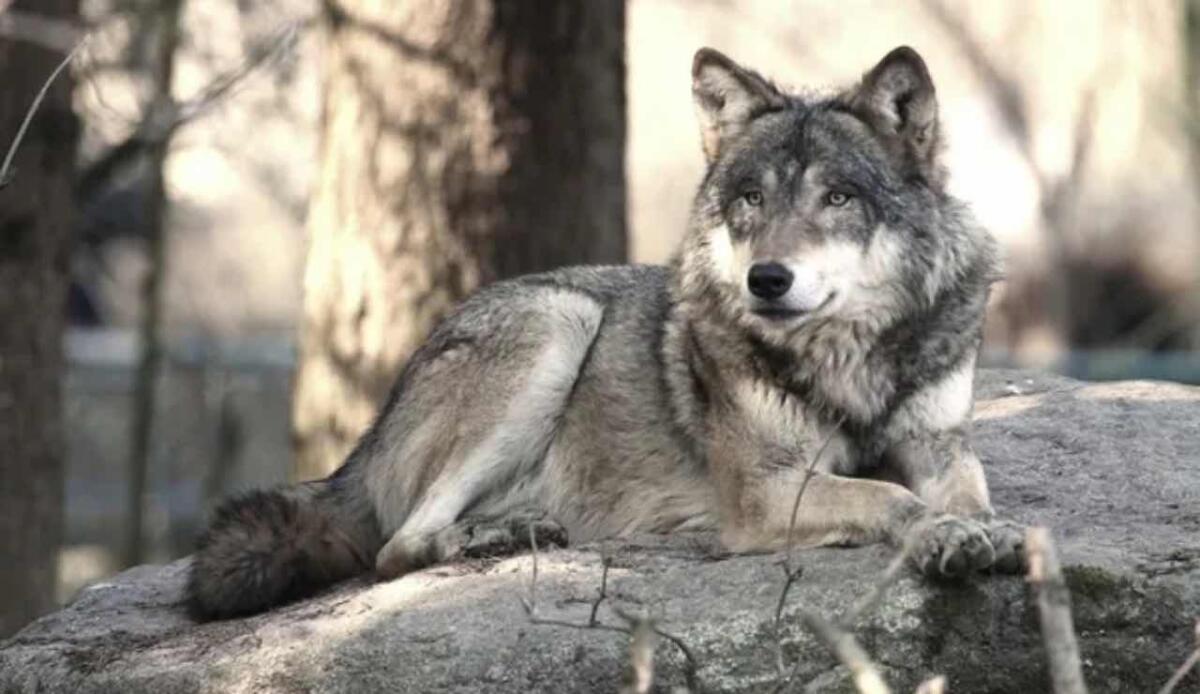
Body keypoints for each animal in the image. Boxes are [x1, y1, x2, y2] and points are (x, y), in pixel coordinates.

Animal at [188, 46, 1025, 619]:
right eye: (750, 199)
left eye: (839, 197)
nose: (767, 280)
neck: (851, 358)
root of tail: (365, 439)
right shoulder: (766, 491)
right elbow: (888, 496)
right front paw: (941, 535)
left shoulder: (938, 443)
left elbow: (968, 492)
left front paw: (993, 531)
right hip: (558, 320)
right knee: (397, 546)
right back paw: (487, 538)